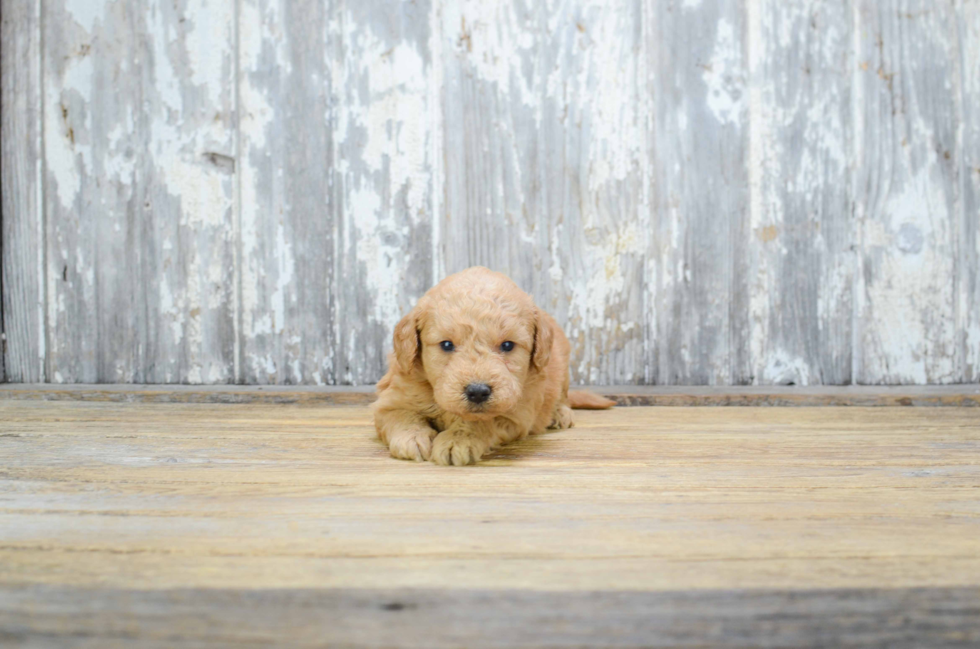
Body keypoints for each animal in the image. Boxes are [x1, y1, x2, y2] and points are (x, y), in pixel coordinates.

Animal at [374, 266, 612, 464]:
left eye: (507, 345)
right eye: (447, 344)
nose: (478, 392)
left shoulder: (516, 414)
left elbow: (480, 422)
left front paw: (457, 441)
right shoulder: (391, 399)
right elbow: (401, 415)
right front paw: (412, 438)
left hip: (562, 365)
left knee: (563, 397)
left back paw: (560, 414)